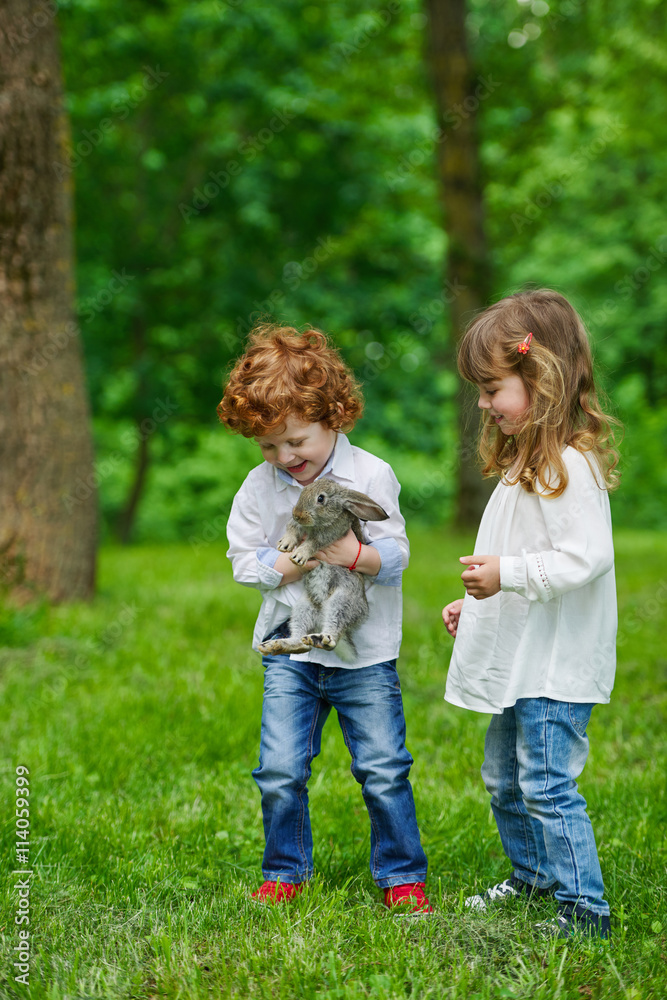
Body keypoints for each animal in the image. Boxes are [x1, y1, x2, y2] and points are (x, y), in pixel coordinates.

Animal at [258, 478, 392, 664]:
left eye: (321, 499)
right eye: (304, 490)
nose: (297, 514)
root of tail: (321, 618)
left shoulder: (329, 534)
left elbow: (313, 543)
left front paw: (298, 556)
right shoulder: (298, 526)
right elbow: (292, 528)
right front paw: (285, 544)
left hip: (342, 602)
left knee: (333, 637)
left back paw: (320, 639)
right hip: (303, 607)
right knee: (302, 643)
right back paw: (277, 645)